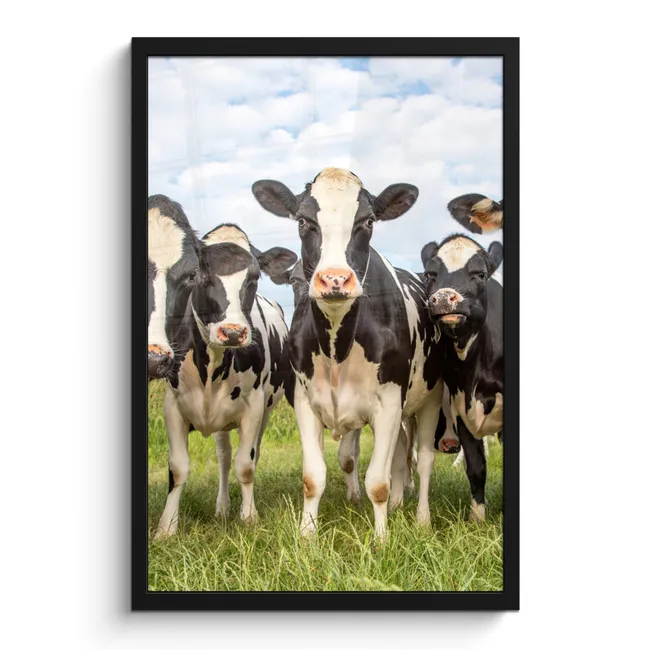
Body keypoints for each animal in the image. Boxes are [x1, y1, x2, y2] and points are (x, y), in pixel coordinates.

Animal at [153, 221, 297, 539]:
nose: (232, 332)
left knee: (245, 455)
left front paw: (249, 517)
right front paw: (166, 527)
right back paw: (221, 508)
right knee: (223, 457)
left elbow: (246, 464)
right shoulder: (172, 406)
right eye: (199, 275)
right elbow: (178, 467)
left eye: (254, 277)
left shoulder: (254, 406)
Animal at [251, 167, 444, 540]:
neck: (337, 346)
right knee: (400, 452)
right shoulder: (305, 402)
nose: (335, 279)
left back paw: (422, 518)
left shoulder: (389, 403)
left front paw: (382, 540)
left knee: (424, 459)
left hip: (430, 398)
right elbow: (313, 478)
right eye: (303, 220)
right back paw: (398, 503)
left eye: (367, 221)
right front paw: (307, 536)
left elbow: (378, 482)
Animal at [420, 233, 503, 522]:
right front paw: (476, 518)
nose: (444, 298)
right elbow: (476, 467)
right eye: (430, 274)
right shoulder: (461, 408)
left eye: (480, 274)